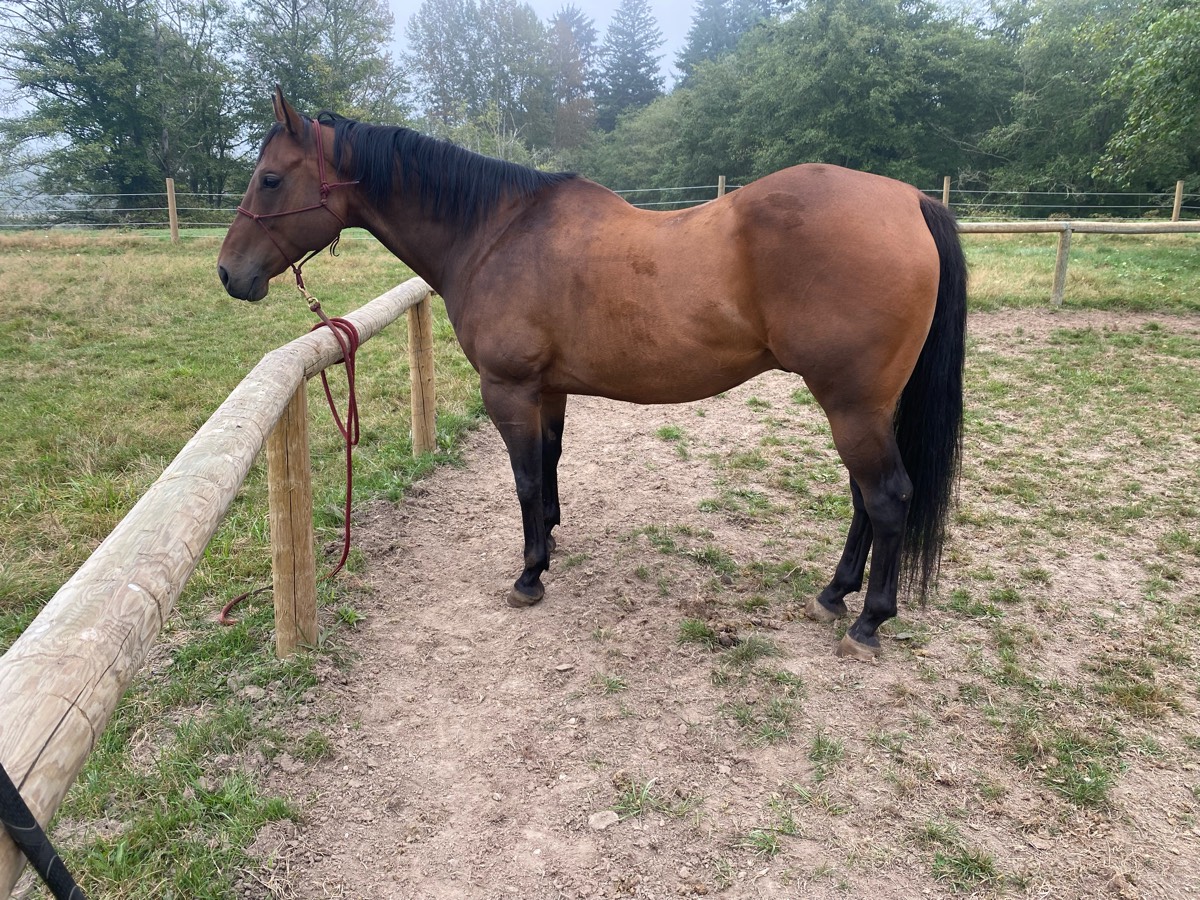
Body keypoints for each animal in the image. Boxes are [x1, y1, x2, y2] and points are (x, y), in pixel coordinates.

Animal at [218, 87, 967, 660]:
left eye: (271, 178)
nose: (230, 274)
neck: (495, 232)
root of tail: (909, 201)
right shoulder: (548, 390)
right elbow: (548, 467)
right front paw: (548, 540)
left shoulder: (509, 389)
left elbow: (523, 478)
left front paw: (528, 576)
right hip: (861, 407)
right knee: (865, 500)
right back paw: (835, 593)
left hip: (852, 405)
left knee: (887, 497)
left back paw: (868, 620)